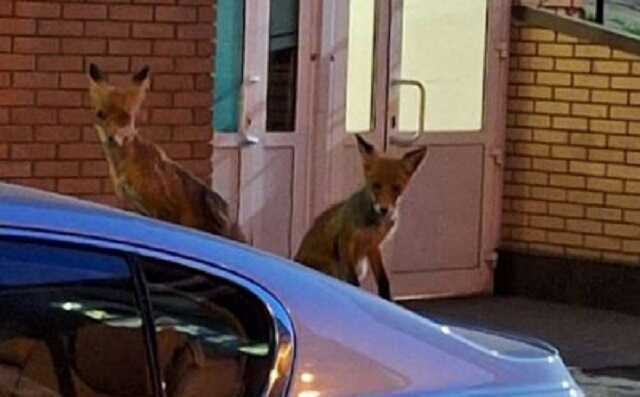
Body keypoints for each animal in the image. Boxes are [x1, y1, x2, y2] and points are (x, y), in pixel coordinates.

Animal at [296, 135, 428, 298]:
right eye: (376, 185)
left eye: (396, 188)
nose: (384, 209)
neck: (374, 226)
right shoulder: (346, 242)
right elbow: (353, 282)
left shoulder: (374, 246)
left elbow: (383, 280)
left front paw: (386, 299)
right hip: (334, 265)